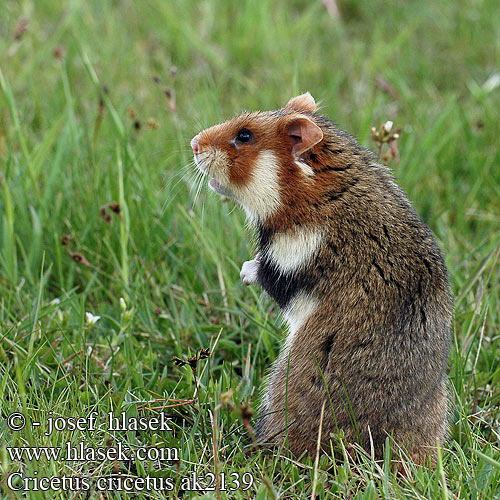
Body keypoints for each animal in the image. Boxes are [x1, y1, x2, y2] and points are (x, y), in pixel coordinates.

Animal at [191, 93, 454, 460]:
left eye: (244, 136)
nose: (193, 144)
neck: (316, 186)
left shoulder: (295, 258)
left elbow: (266, 273)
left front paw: (244, 271)